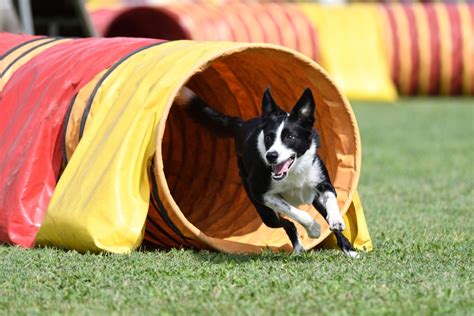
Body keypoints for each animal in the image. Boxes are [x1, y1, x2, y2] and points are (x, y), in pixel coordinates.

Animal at [181, 86, 356, 256]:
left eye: (290, 137)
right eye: (269, 137)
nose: (271, 156)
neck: (293, 171)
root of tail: (241, 124)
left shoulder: (322, 182)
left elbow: (331, 201)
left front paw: (336, 221)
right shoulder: (261, 194)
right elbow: (296, 213)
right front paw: (314, 228)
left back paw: (349, 250)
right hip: (265, 213)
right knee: (287, 223)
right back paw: (299, 248)